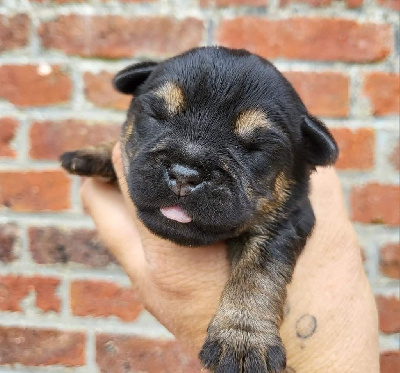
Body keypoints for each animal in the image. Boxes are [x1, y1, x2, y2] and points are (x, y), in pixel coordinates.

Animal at [61, 47, 340, 372]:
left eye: (256, 148)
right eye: (157, 116)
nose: (184, 174)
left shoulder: (286, 220)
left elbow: (257, 275)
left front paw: (242, 338)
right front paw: (96, 151)